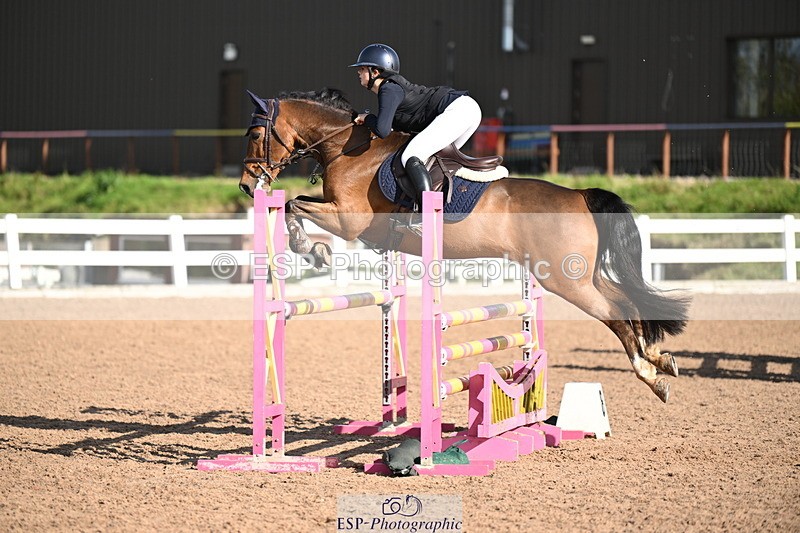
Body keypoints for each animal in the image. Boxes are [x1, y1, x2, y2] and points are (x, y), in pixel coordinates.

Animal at [238, 88, 690, 403]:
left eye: (257, 133)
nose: (246, 185)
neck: (345, 148)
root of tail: (579, 194)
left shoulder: (349, 220)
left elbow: (295, 204)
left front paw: (311, 248)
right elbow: (296, 203)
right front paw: (313, 248)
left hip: (567, 280)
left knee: (615, 311)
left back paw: (650, 376)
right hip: (579, 274)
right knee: (628, 301)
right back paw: (660, 359)